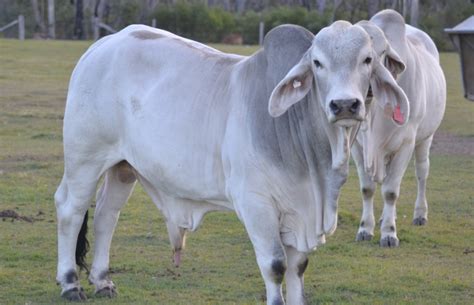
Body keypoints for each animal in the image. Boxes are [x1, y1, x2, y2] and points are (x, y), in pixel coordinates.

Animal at [53, 20, 406, 302]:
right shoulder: (256, 204)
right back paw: (71, 284)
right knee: (71, 209)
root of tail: (101, 46)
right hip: (85, 159)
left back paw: (102, 281)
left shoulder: (299, 211)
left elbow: (298, 269)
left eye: (368, 59)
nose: (344, 104)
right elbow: (275, 266)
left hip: (123, 167)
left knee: (106, 215)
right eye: (318, 63)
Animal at [354, 9, 446, 246]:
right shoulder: (358, 147)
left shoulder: (406, 143)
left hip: (425, 139)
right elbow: (367, 189)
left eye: (382, 52)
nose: (367, 86)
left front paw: (389, 233)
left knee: (422, 172)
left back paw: (420, 214)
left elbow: (390, 192)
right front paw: (365, 229)